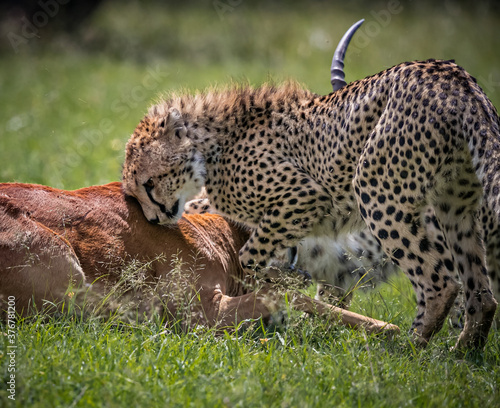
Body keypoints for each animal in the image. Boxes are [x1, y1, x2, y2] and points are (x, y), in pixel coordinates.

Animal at [122, 51, 500, 350]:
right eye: (133, 192)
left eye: (149, 183)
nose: (154, 219)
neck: (211, 142)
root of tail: (454, 77)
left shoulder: (305, 197)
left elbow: (251, 257)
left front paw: (277, 283)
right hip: (453, 207)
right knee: (481, 293)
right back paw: (461, 354)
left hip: (375, 192)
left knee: (441, 281)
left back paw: (414, 347)